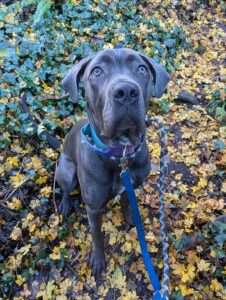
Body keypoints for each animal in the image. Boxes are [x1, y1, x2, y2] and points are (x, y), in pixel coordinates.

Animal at [56, 48, 170, 278]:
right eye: (97, 71)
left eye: (141, 69)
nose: (126, 91)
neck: (121, 153)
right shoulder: (93, 208)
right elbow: (97, 236)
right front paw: (98, 260)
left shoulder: (132, 185)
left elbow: (127, 202)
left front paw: (130, 218)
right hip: (67, 171)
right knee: (65, 188)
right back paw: (65, 203)